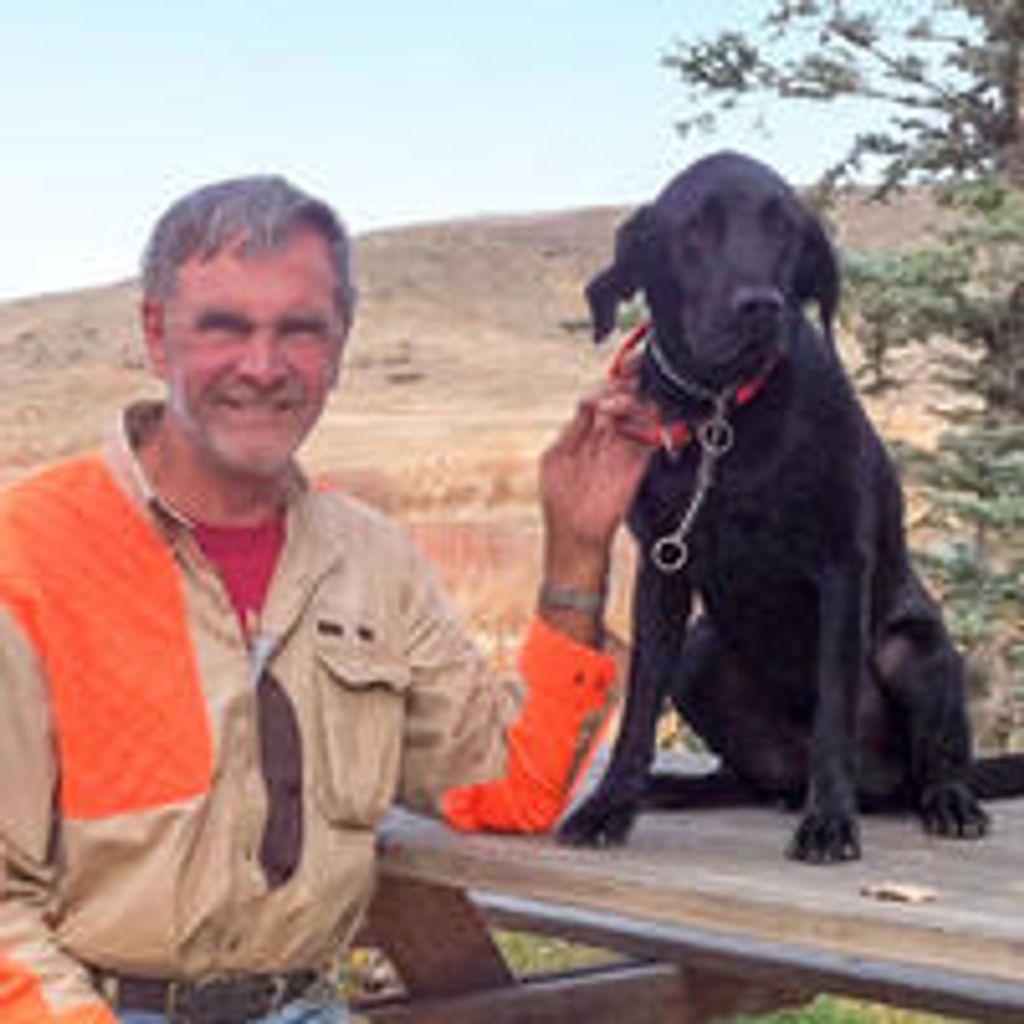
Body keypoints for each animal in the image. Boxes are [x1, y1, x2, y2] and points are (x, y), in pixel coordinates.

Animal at [558, 150, 1024, 862]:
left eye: (787, 231)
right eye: (695, 228)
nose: (761, 305)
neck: (724, 415)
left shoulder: (840, 566)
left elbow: (833, 709)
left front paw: (828, 822)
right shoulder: (663, 569)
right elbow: (638, 706)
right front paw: (611, 805)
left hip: (916, 648)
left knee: (933, 763)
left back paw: (945, 802)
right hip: (701, 652)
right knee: (747, 778)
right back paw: (685, 788)